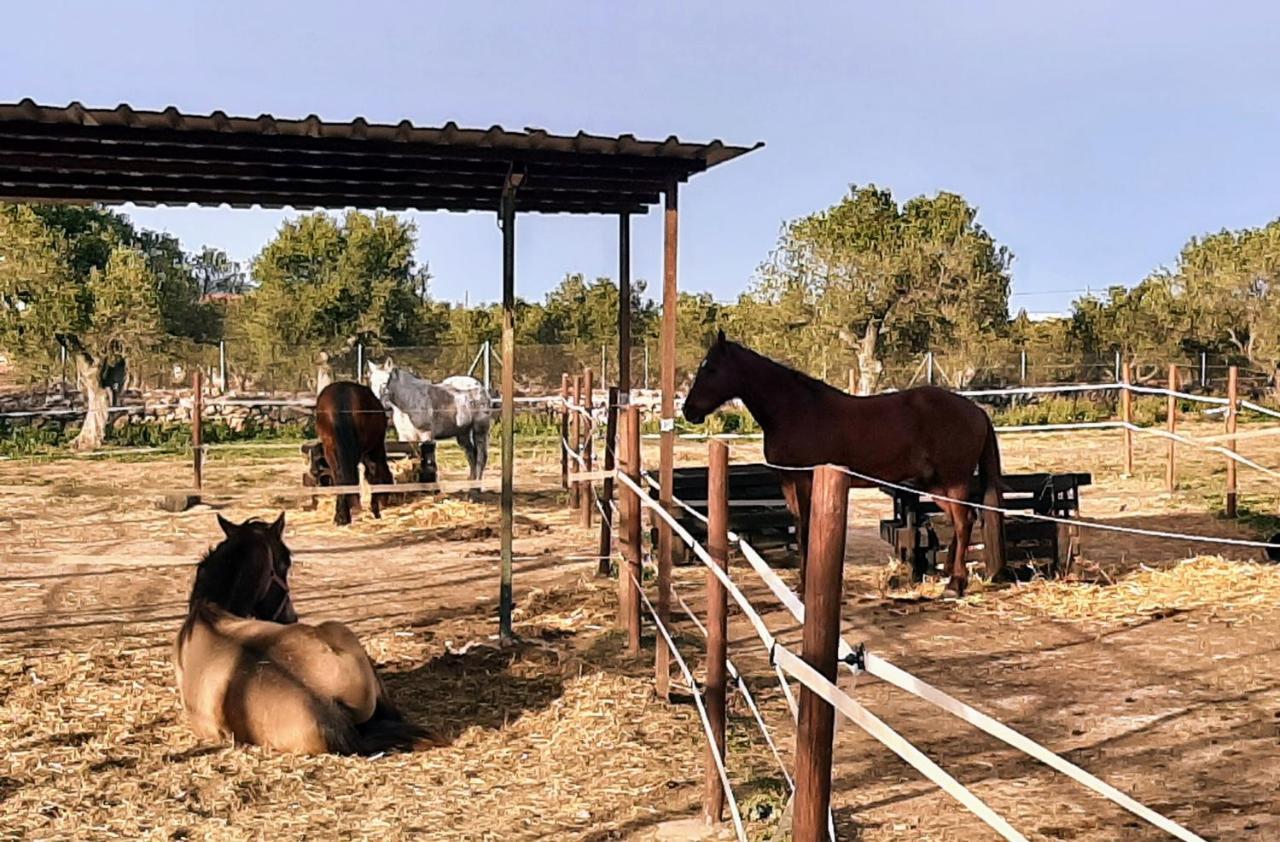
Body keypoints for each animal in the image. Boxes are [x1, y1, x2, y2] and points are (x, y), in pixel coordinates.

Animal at [686, 330, 1003, 596]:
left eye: (711, 369)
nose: (688, 411)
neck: (795, 409)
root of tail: (976, 410)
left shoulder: (805, 480)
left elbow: (805, 531)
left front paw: (806, 586)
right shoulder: (789, 482)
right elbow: (800, 527)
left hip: (954, 480)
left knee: (963, 521)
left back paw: (956, 583)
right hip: (936, 485)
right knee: (960, 521)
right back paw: (950, 574)